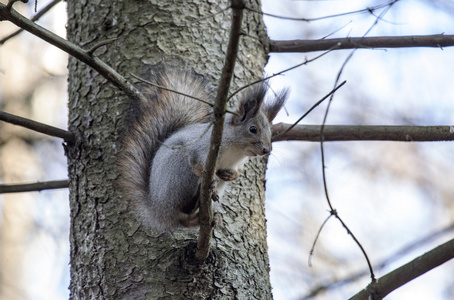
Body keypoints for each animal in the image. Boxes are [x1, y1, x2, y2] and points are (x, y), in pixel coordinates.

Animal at [117, 67, 288, 232]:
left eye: (270, 131)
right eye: (253, 129)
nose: (267, 150)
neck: (236, 151)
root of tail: (157, 209)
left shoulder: (238, 162)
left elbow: (238, 171)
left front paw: (232, 175)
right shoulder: (201, 148)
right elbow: (197, 163)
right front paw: (212, 177)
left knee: (185, 220)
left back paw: (210, 217)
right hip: (181, 175)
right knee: (182, 207)